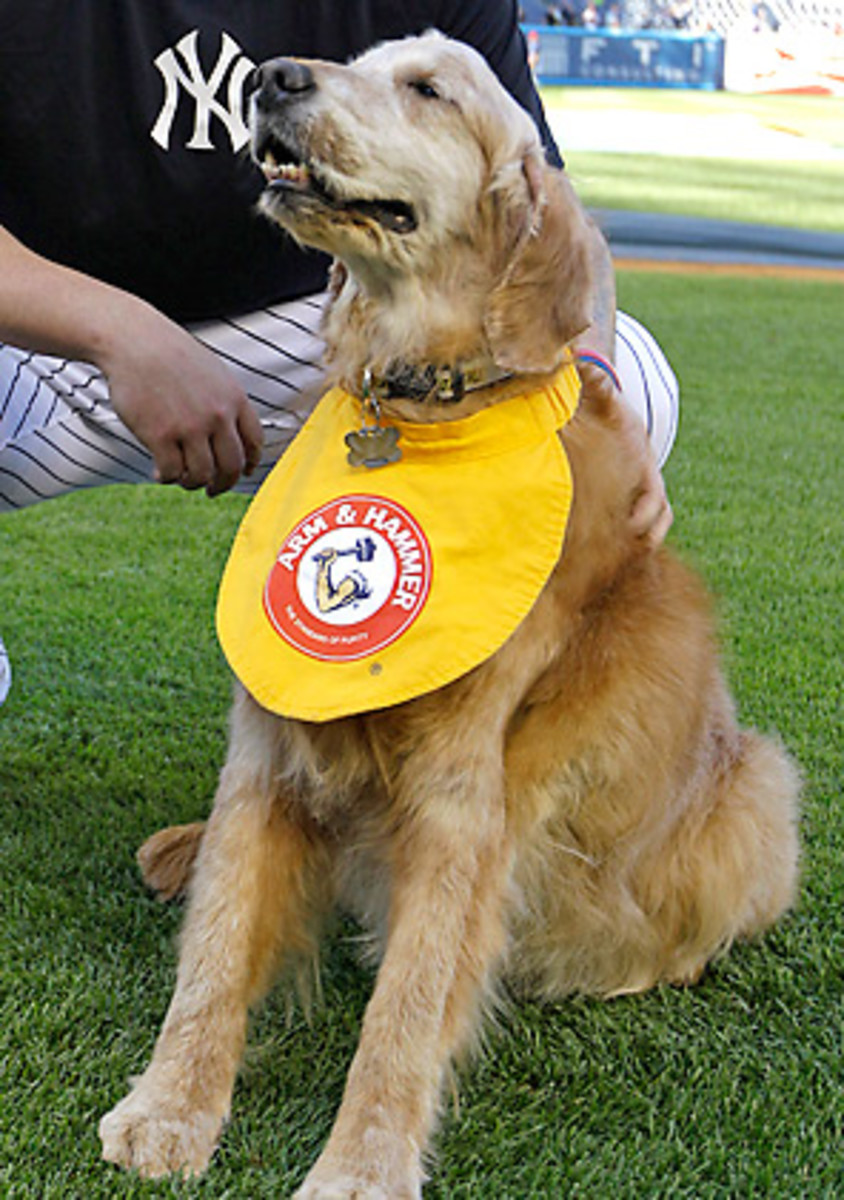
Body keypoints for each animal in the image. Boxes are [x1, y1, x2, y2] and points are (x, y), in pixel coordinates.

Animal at [97, 32, 797, 1195]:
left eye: (429, 90)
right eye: (360, 63)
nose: (275, 77)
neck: (416, 402)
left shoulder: (466, 799)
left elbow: (408, 1009)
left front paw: (362, 1166)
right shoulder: (267, 738)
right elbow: (218, 946)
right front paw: (172, 1106)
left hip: (761, 786)